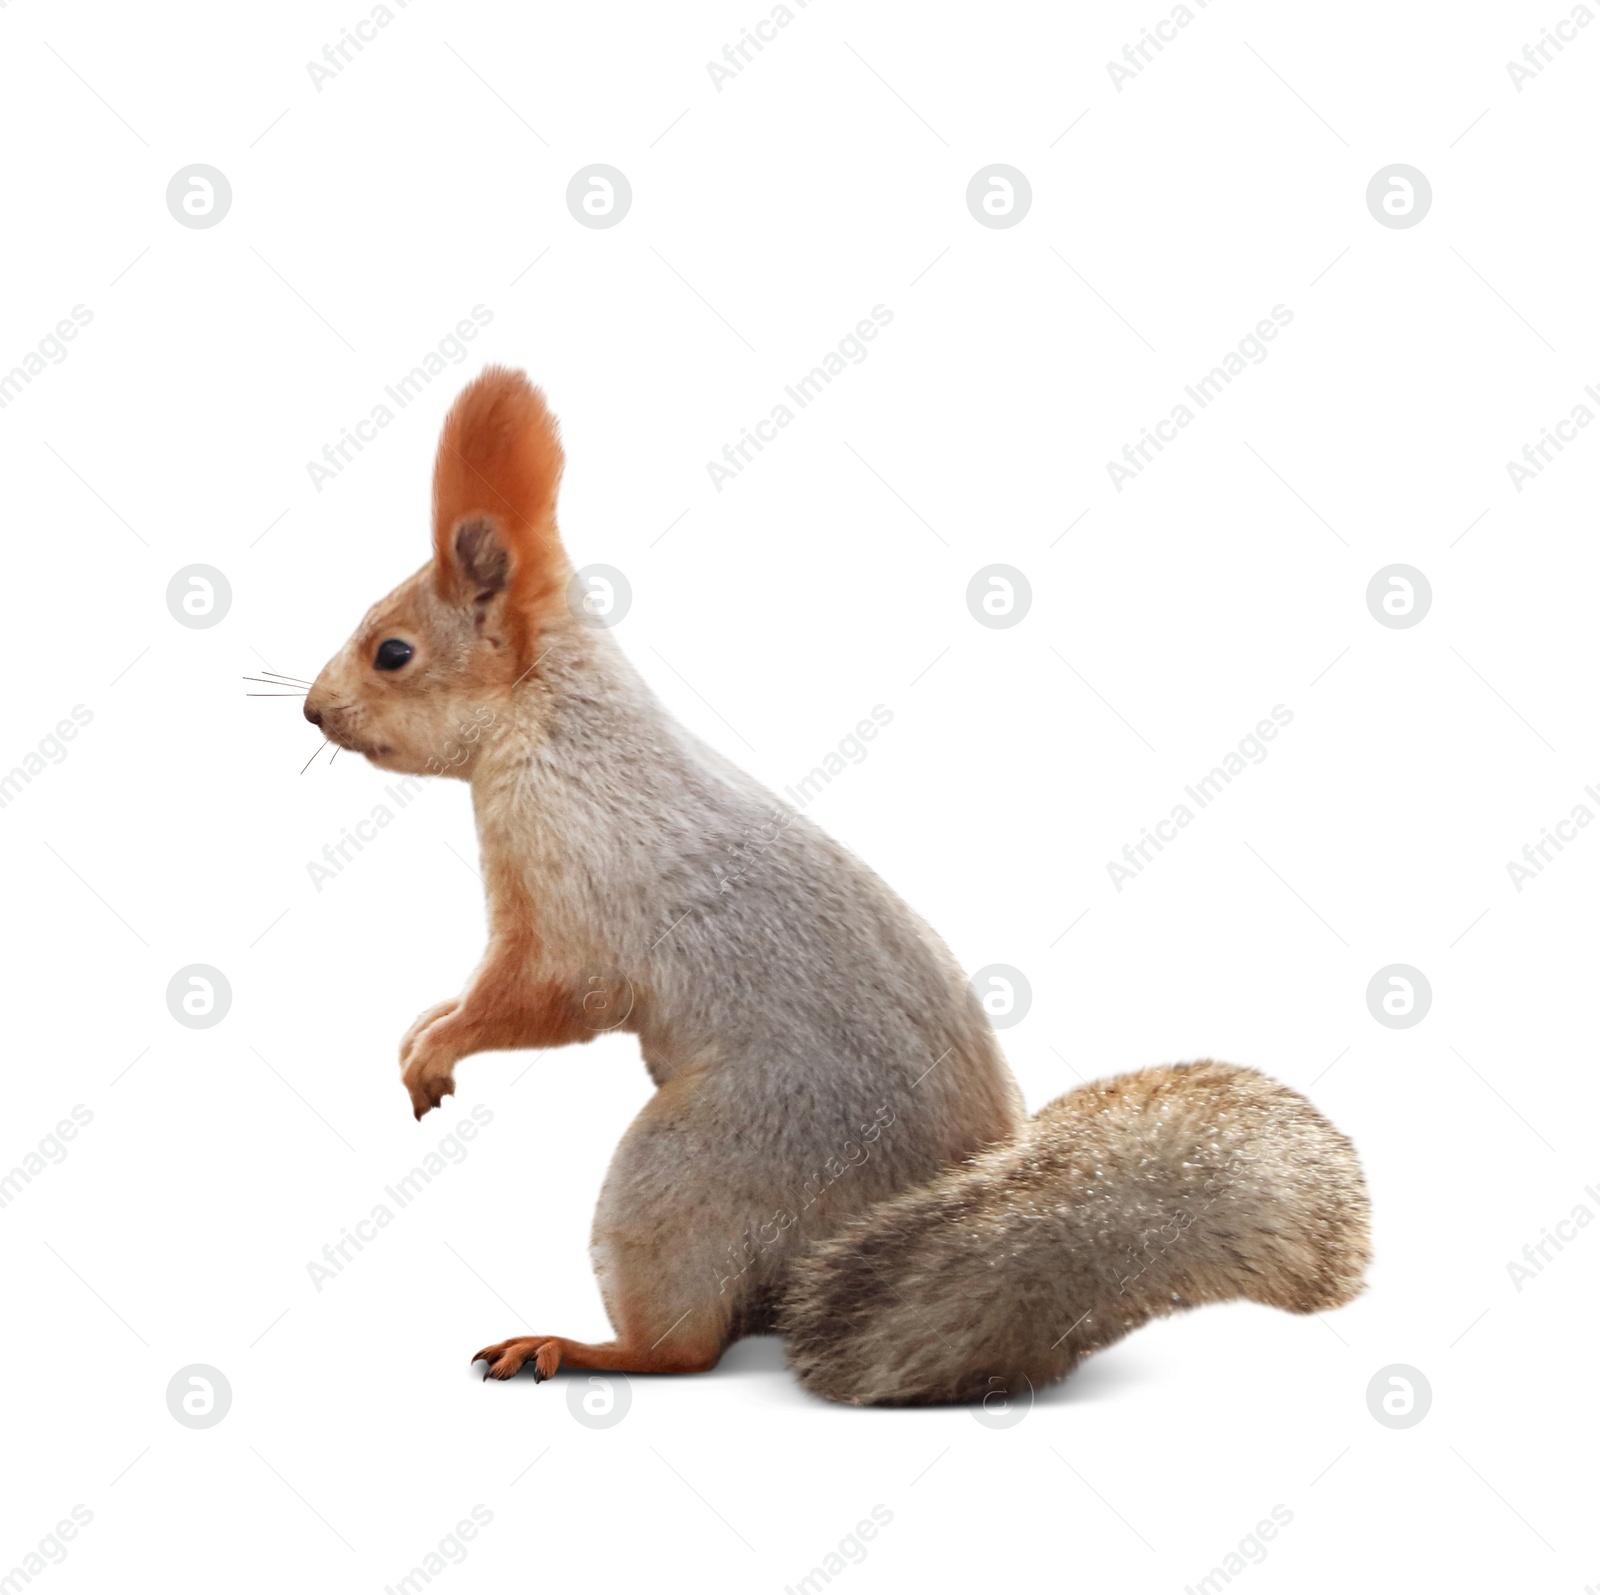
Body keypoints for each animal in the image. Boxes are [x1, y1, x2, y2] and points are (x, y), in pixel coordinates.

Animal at [305, 367, 1369, 1401]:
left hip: (696, 1164)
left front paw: (439, 1046)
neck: (552, 720)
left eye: (392, 651)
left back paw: (578, 1346)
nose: (313, 711)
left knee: (689, 1348)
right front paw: (424, 1023)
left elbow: (538, 997)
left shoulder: (575, 890)